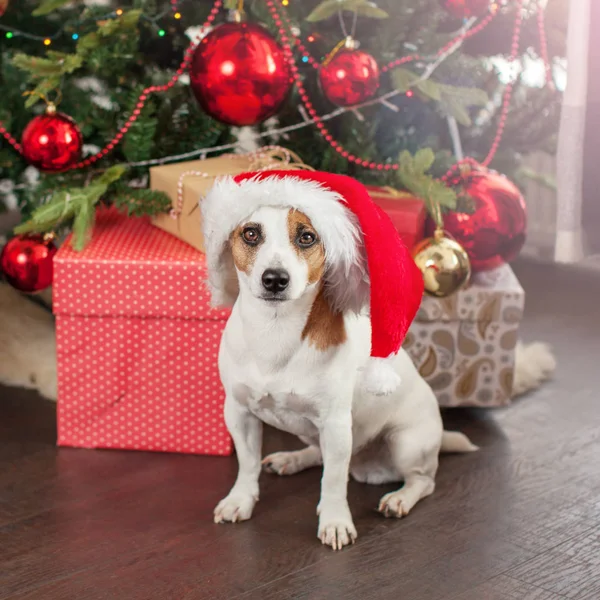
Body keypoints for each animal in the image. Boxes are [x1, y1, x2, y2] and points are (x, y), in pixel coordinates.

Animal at [202, 171, 478, 552]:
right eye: (251, 233)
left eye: (307, 237)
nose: (275, 279)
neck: (275, 331)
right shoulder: (239, 413)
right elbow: (247, 464)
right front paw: (240, 500)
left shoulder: (334, 424)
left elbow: (332, 482)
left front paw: (334, 522)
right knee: (318, 454)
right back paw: (291, 459)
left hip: (406, 444)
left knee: (423, 481)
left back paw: (399, 498)